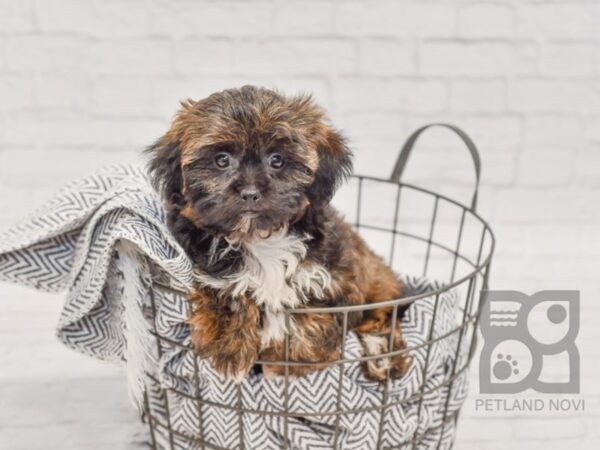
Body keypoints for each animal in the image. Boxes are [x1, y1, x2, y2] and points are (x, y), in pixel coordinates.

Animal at [149, 86, 412, 382]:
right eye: (221, 160)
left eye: (277, 160)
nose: (250, 193)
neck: (259, 237)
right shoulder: (206, 264)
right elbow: (227, 290)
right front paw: (229, 346)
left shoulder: (338, 278)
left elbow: (310, 314)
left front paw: (292, 360)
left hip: (379, 285)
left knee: (383, 318)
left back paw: (385, 358)